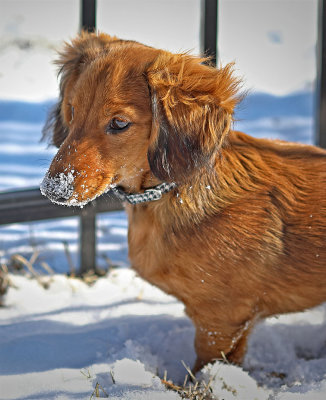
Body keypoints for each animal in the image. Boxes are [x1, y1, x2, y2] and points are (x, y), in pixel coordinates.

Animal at [41, 32, 326, 372]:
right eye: (72, 110)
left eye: (119, 123)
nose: (52, 189)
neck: (169, 194)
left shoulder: (221, 319)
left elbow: (207, 364)